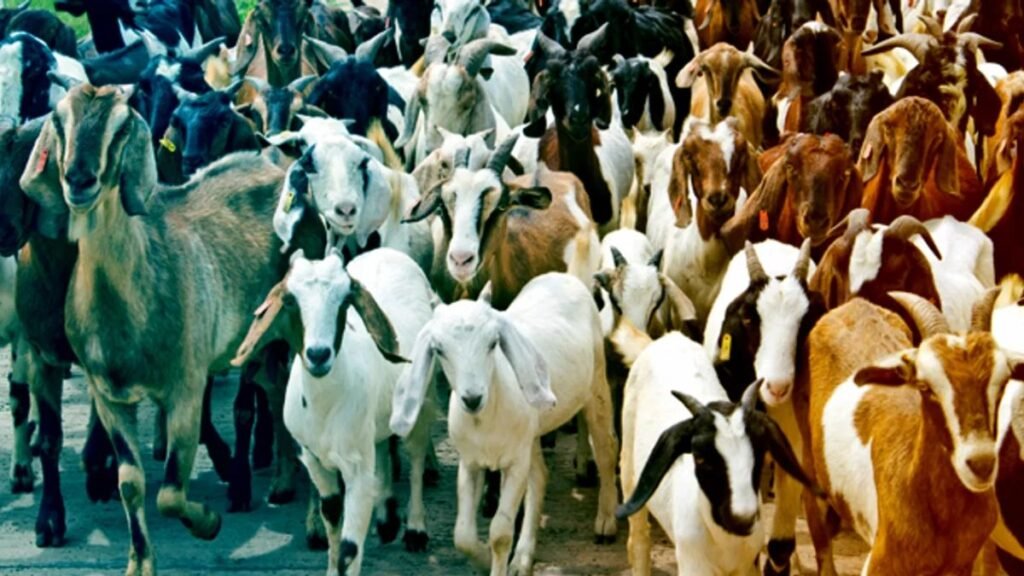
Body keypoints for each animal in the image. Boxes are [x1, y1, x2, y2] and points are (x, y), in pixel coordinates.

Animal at [17, 84, 318, 574]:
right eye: (60, 121)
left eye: (122, 126)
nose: (79, 180)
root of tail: (270, 160)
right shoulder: (108, 395)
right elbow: (130, 482)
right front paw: (139, 562)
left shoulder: (186, 387)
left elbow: (171, 495)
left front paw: (209, 522)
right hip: (261, 338)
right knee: (276, 390)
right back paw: (284, 482)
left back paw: (313, 522)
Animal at [231, 248, 435, 574]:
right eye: (290, 300)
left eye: (345, 299)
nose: (318, 354)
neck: (325, 406)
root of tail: (390, 251)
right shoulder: (314, 460)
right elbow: (331, 517)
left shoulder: (356, 471)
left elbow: (349, 549)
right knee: (383, 449)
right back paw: (387, 521)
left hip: (421, 400)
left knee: (415, 458)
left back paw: (415, 529)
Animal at [391, 272, 619, 574]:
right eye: (438, 349)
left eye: (493, 343)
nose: (472, 398)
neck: (486, 419)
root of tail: (561, 275)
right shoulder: (470, 462)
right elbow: (462, 534)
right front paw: (483, 558)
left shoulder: (514, 463)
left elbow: (500, 533)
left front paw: (494, 558)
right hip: (529, 435)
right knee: (540, 476)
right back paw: (523, 557)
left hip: (596, 384)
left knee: (606, 450)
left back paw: (606, 520)